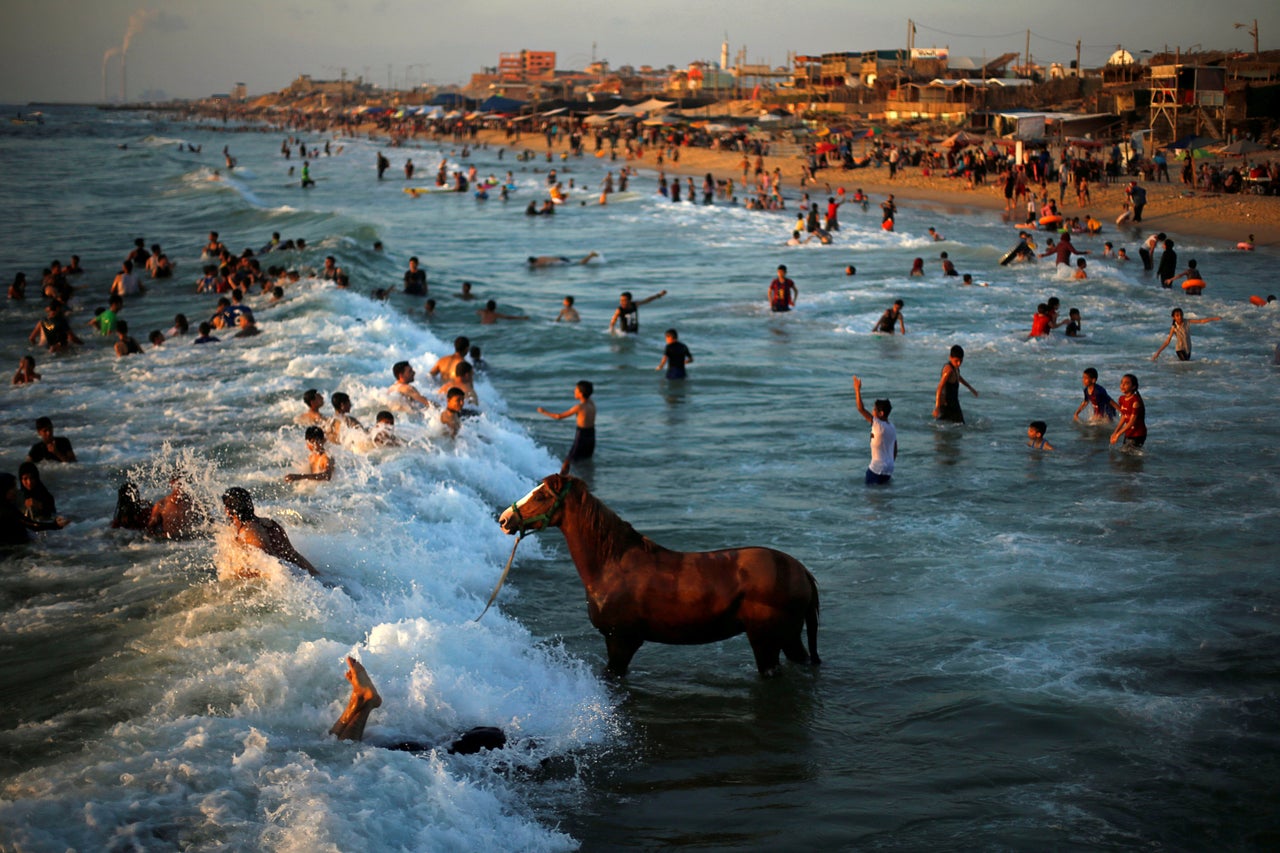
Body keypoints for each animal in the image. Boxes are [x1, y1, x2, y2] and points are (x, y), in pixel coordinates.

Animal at [494, 473, 814, 676]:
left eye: (541, 495)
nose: (504, 519)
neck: (611, 566)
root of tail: (801, 571)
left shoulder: (620, 641)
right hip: (789, 637)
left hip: (765, 640)